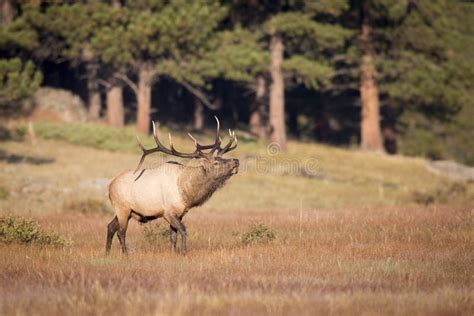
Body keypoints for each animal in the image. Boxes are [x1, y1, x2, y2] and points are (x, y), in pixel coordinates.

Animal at [104, 117, 237, 256]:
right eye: (216, 162)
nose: (236, 161)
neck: (187, 194)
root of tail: (109, 187)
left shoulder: (180, 213)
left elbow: (173, 236)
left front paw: (174, 253)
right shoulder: (168, 212)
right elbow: (183, 230)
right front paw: (183, 252)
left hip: (127, 211)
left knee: (110, 227)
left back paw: (107, 253)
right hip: (122, 207)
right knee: (121, 232)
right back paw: (125, 254)